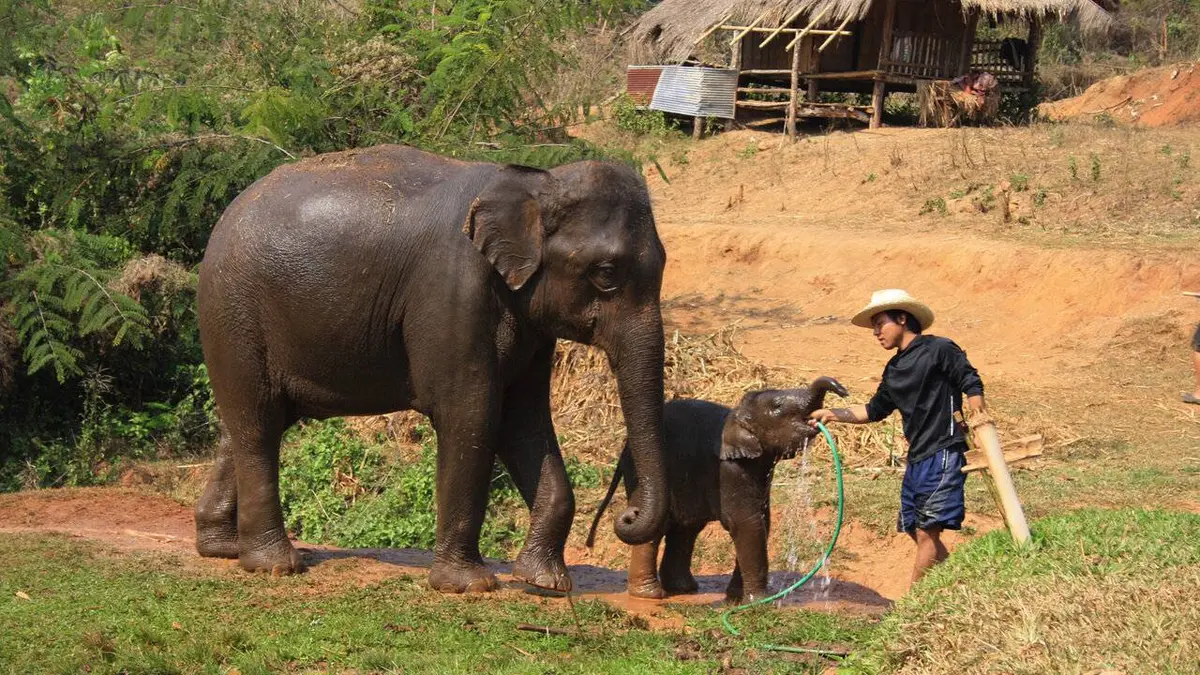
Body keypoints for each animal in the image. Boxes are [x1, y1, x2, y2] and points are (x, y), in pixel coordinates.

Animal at [194, 144, 670, 594]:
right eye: (605, 273)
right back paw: (274, 564)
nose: (627, 516)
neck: (538, 185)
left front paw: (544, 582)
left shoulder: (530, 325)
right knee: (258, 425)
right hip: (234, 312)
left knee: (248, 423)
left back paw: (223, 548)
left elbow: (525, 421)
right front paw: (468, 586)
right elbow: (471, 415)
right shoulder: (454, 292)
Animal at [586, 376, 849, 602]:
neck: (736, 415)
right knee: (660, 526)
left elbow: (763, 521)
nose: (844, 391)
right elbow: (747, 524)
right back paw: (651, 595)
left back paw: (684, 589)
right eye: (777, 406)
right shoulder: (727, 470)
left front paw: (736, 598)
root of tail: (624, 449)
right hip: (640, 475)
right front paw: (758, 602)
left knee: (687, 529)